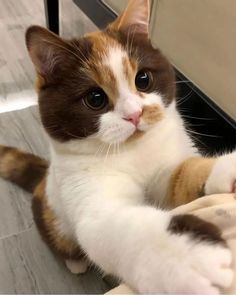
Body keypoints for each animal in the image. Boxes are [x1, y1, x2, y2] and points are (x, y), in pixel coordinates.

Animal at [0, 0, 236, 294]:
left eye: (143, 79)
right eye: (95, 98)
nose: (135, 114)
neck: (133, 150)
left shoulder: (165, 168)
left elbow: (183, 175)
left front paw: (226, 168)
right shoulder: (87, 192)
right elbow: (119, 227)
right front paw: (185, 257)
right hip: (54, 214)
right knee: (61, 240)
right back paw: (76, 262)